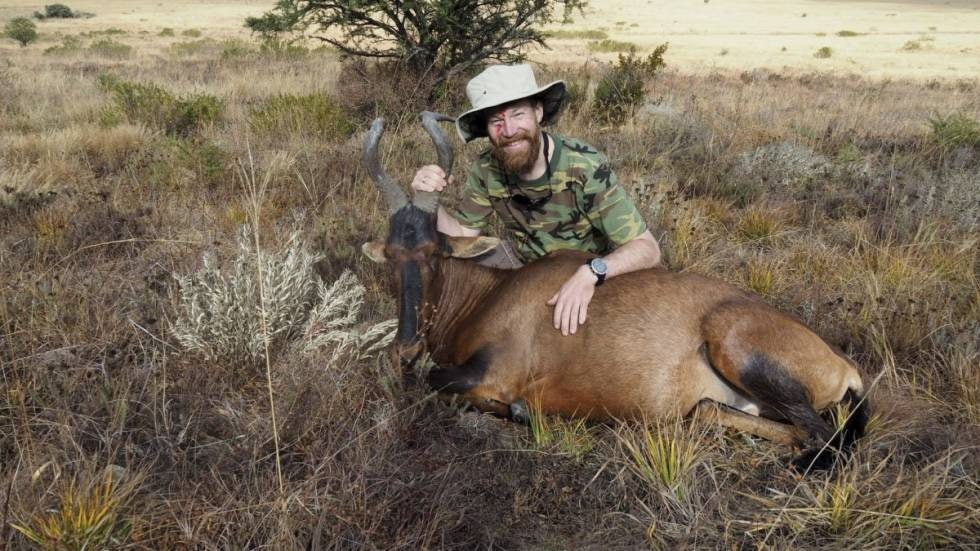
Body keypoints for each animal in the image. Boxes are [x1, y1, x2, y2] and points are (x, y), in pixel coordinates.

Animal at [364, 112, 868, 470]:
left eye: (433, 251)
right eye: (391, 254)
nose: (405, 350)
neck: (493, 293)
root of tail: (844, 366)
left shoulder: (492, 374)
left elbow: (444, 383)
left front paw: (522, 412)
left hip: (738, 349)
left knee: (821, 435)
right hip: (732, 403)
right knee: (713, 412)